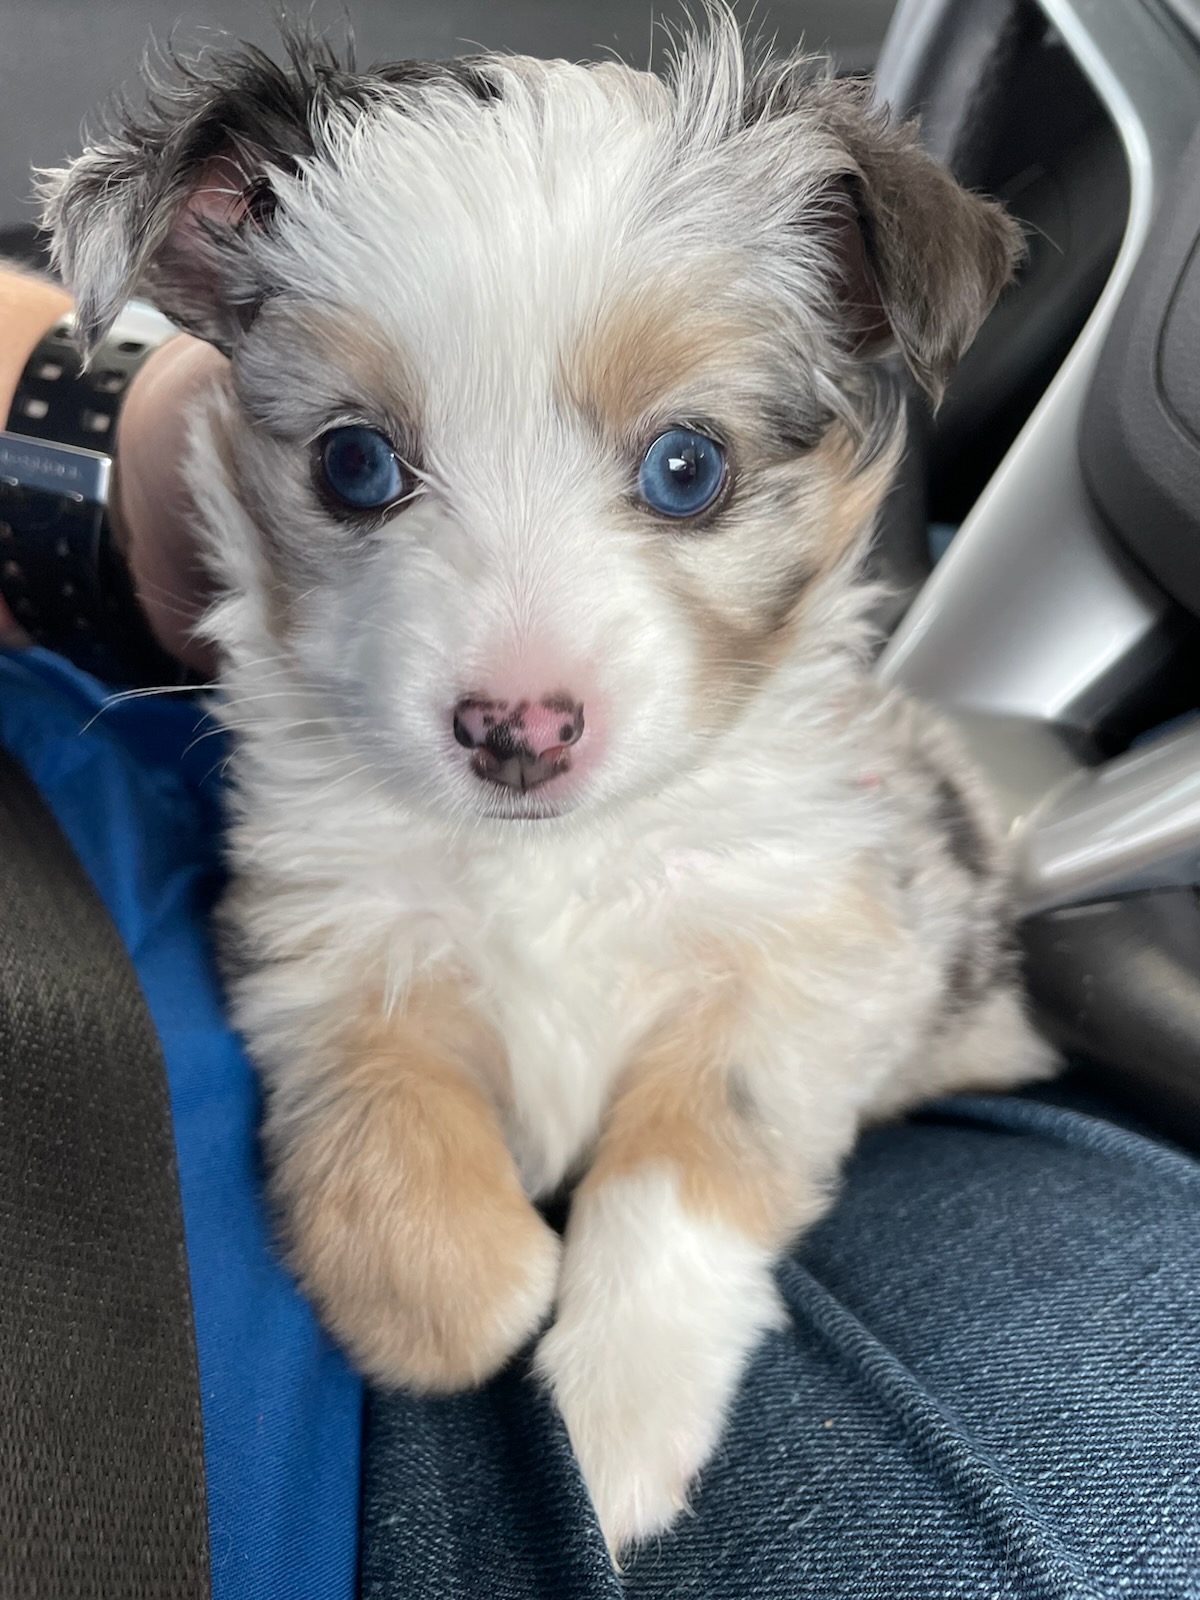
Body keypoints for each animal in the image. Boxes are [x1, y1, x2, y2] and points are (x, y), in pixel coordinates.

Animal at [42, 12, 1049, 1555]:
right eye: (354, 463)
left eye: (688, 468)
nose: (518, 727)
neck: (554, 855)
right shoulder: (323, 941)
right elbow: (385, 1125)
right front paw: (467, 1297)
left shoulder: (812, 956)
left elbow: (687, 1169)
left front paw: (616, 1417)